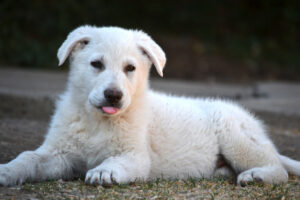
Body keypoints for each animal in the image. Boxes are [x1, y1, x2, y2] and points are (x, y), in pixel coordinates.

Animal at [0, 25, 300, 188]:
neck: (98, 122)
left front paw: (104, 171)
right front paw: (8, 170)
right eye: (96, 64)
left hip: (236, 136)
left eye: (130, 68)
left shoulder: (135, 156)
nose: (113, 95)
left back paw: (257, 176)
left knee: (279, 169)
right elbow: (29, 157)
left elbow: (115, 160)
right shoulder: (60, 153)